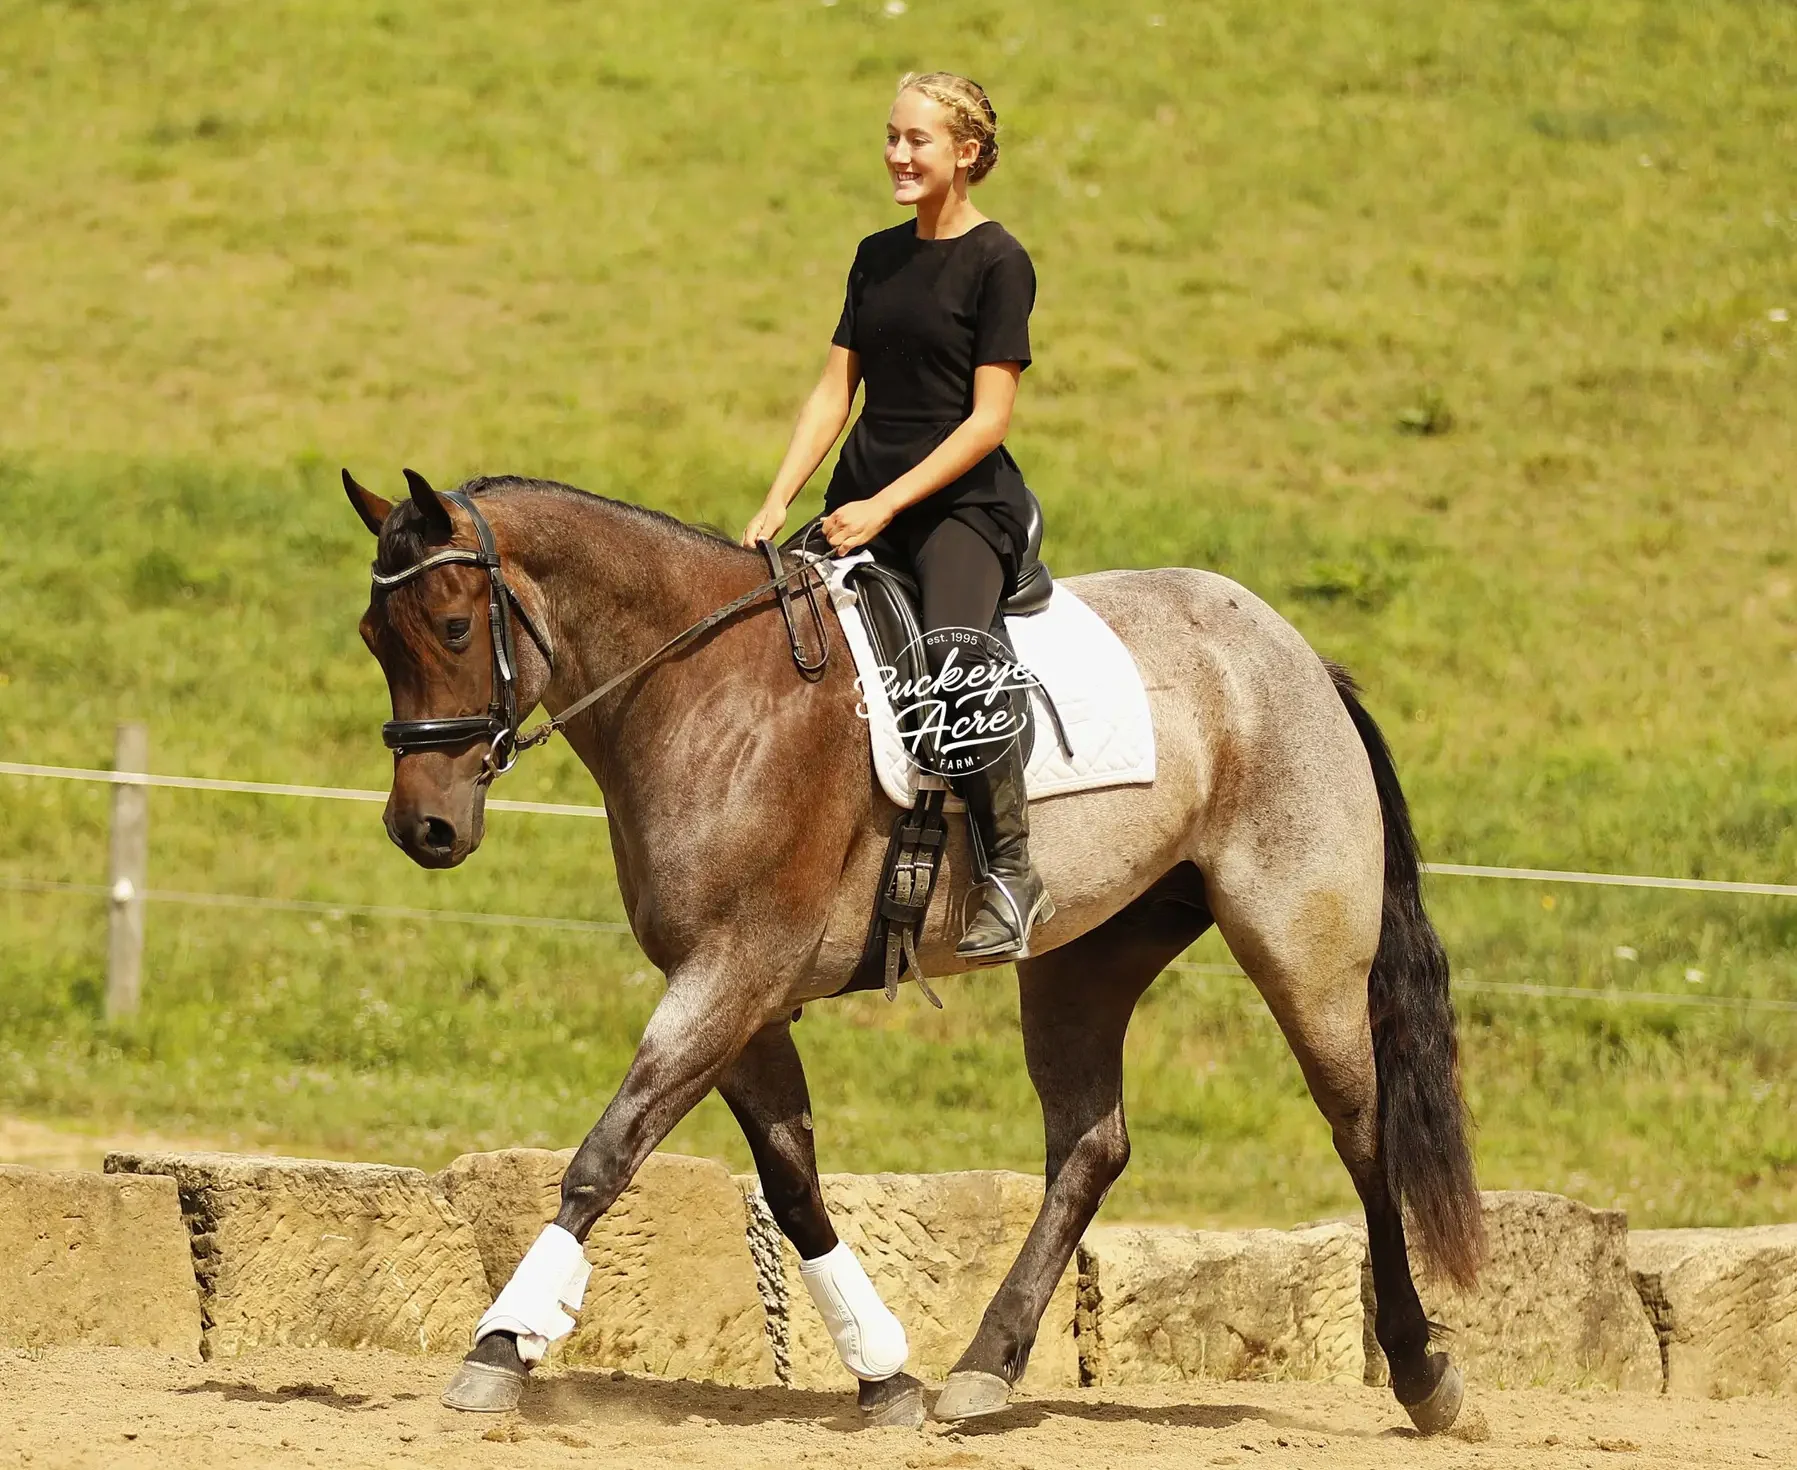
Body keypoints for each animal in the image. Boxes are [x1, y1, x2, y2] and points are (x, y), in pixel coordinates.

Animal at [342, 466, 1485, 1434]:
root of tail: (1296, 659)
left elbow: (606, 1155)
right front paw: (882, 1372)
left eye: (453, 625)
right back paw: (985, 1365)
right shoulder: (740, 994)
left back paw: (1423, 1374)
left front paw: (501, 1347)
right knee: (1090, 1145)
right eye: (372, 636)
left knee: (1361, 1133)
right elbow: (792, 1180)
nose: (421, 830)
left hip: (1301, 950)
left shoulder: (730, 975)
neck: (702, 687)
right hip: (1084, 957)